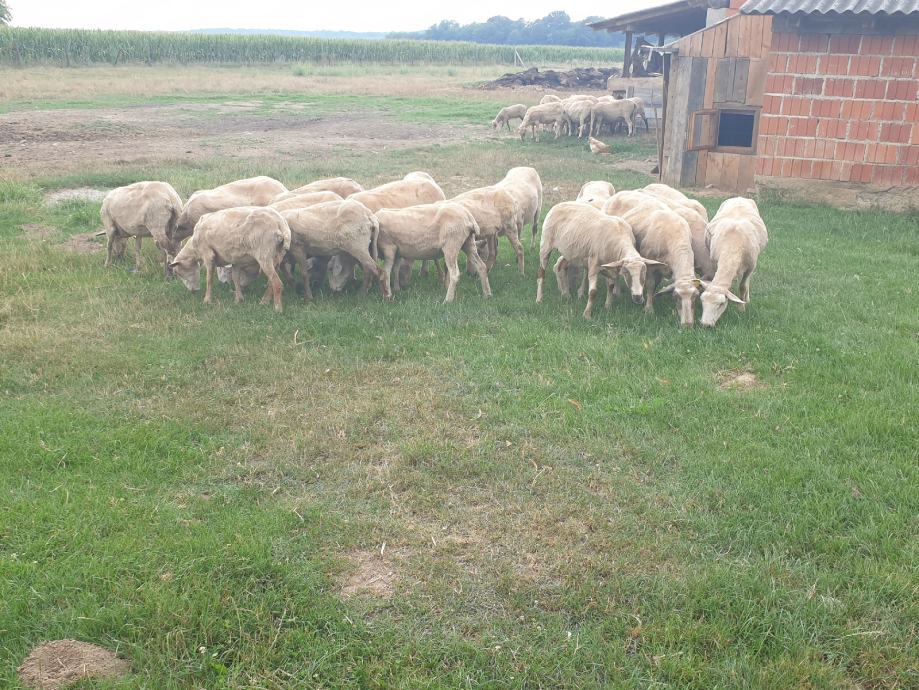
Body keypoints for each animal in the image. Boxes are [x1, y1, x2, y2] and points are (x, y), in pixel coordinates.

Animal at [699, 197, 769, 327]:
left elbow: (743, 287)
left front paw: (741, 309)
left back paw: (747, 299)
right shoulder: (715, 262)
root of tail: (739, 198)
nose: (705, 324)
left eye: (721, 304)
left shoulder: (751, 267)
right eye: (702, 300)